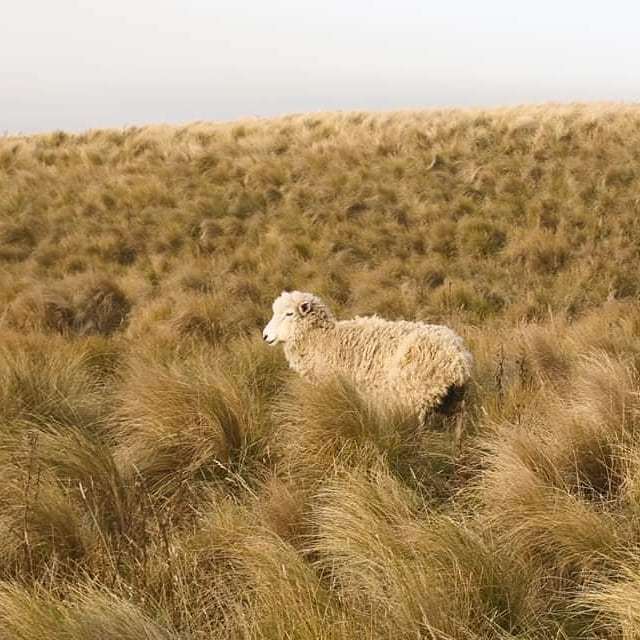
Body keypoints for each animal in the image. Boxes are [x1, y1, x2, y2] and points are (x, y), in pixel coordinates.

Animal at [263, 290, 473, 423]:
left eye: (289, 314)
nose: (265, 336)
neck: (323, 339)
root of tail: (457, 359)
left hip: (414, 395)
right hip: (456, 400)